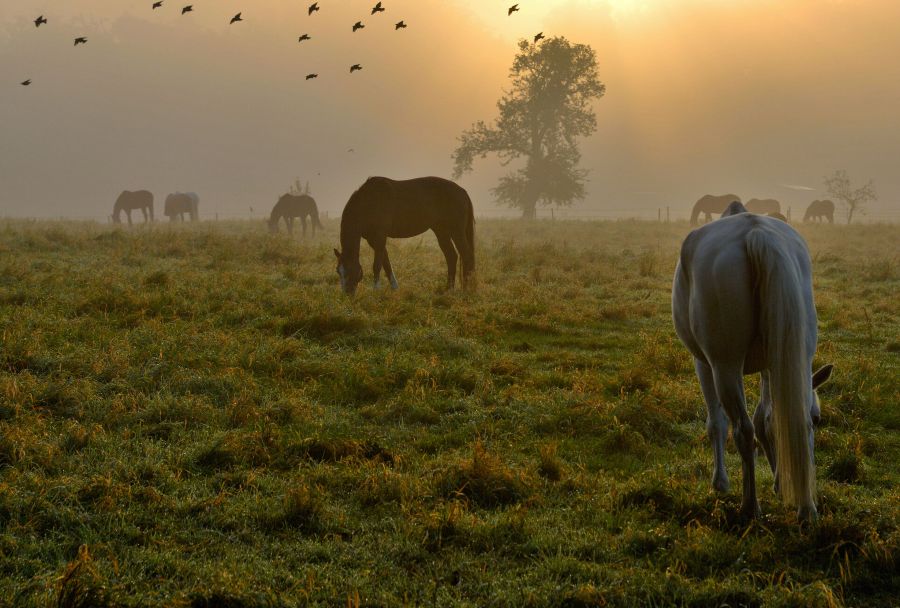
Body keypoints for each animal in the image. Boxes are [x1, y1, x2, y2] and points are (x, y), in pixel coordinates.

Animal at [336, 176, 478, 294]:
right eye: (338, 271)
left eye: (348, 270)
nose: (347, 294)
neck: (368, 201)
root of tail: (462, 191)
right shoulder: (372, 239)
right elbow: (386, 263)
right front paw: (394, 287)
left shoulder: (380, 236)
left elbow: (377, 265)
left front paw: (376, 290)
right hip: (441, 231)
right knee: (451, 256)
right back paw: (449, 289)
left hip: (456, 231)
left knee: (466, 256)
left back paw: (465, 289)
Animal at [672, 211, 832, 520]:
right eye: (820, 418)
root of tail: (756, 233)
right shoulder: (773, 366)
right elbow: (768, 420)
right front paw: (780, 482)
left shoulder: (703, 364)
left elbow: (717, 422)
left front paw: (720, 482)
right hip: (793, 353)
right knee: (792, 422)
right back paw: (806, 508)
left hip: (725, 367)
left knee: (742, 430)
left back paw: (750, 507)